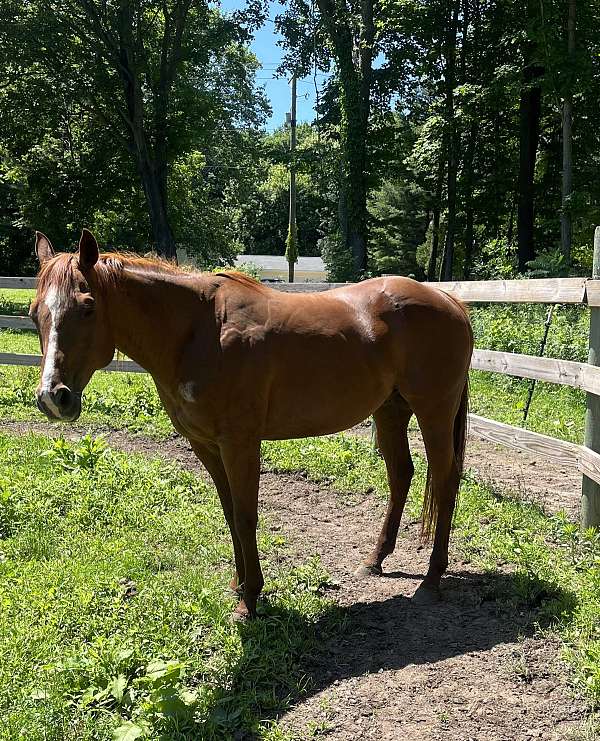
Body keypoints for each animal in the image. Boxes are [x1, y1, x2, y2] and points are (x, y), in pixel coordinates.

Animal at [31, 228, 473, 620]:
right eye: (35, 314)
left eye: (88, 307)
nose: (54, 397)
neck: (198, 331)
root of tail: (450, 300)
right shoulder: (206, 445)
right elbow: (230, 514)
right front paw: (238, 585)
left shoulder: (240, 443)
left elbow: (246, 515)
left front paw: (251, 601)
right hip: (390, 410)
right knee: (402, 475)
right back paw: (374, 560)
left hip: (434, 410)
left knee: (446, 479)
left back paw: (431, 580)